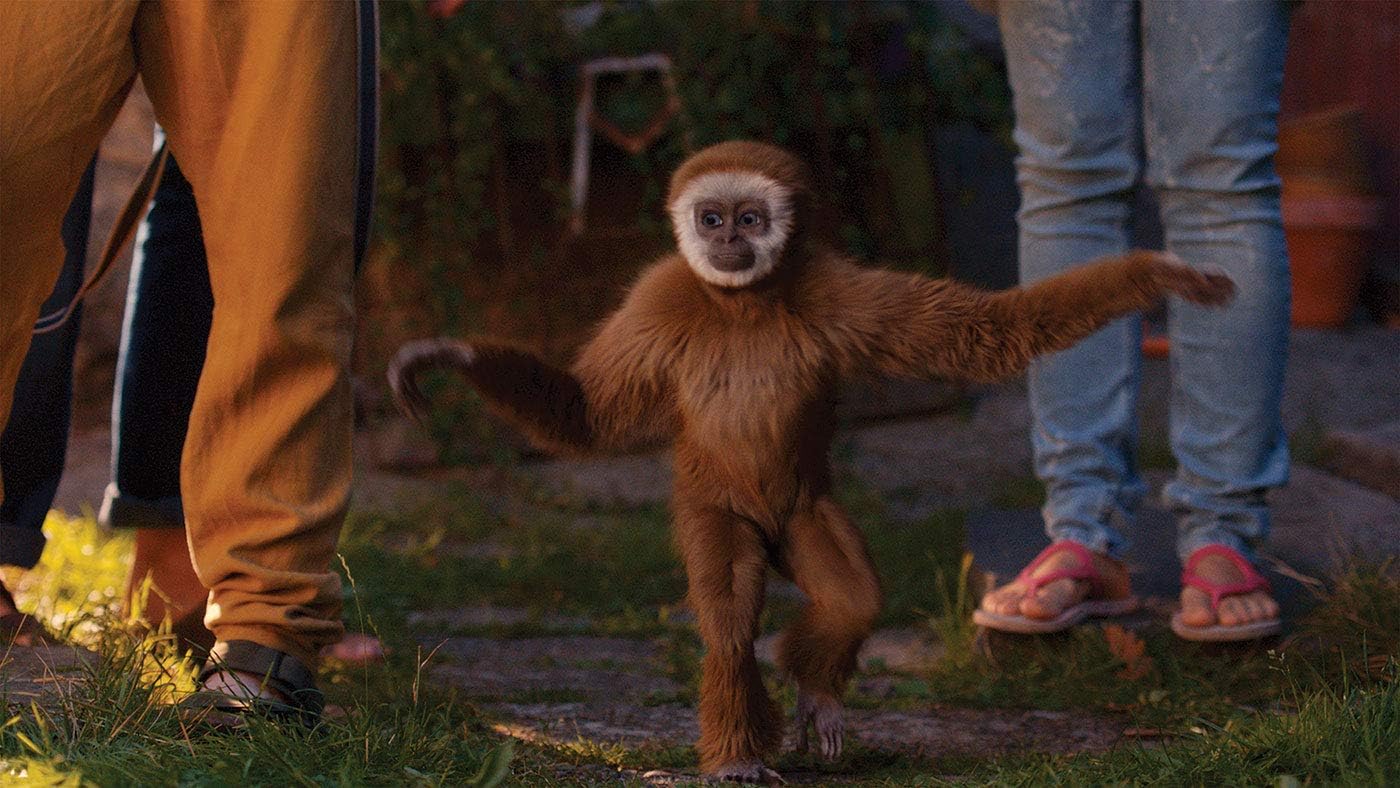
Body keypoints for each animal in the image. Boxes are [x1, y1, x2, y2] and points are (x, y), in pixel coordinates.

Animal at [388, 141, 1234, 784]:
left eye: (750, 219)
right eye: (711, 218)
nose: (726, 239)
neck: (742, 303)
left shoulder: (841, 293)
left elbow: (988, 334)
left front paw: (1157, 275)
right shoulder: (659, 299)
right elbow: (589, 416)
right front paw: (452, 356)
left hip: (807, 509)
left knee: (852, 598)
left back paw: (815, 687)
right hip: (714, 507)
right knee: (732, 615)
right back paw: (740, 746)